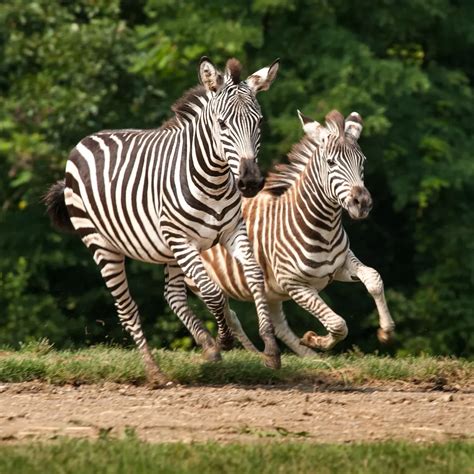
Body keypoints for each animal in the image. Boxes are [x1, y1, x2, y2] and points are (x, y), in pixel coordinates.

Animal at [43, 56, 282, 386]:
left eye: (258, 122)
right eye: (222, 124)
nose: (250, 182)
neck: (216, 180)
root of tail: (86, 140)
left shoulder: (233, 231)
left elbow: (254, 275)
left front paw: (269, 348)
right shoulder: (182, 238)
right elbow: (213, 292)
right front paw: (224, 340)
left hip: (170, 250)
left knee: (173, 295)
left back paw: (205, 345)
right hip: (105, 245)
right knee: (127, 308)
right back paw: (155, 370)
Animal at [187, 109, 394, 358]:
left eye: (362, 161)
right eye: (331, 162)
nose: (362, 203)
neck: (324, 227)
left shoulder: (338, 267)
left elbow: (374, 278)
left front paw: (386, 330)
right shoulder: (294, 284)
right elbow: (338, 323)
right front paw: (317, 340)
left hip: (271, 292)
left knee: (279, 326)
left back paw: (311, 358)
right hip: (199, 282)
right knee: (233, 318)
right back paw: (258, 354)